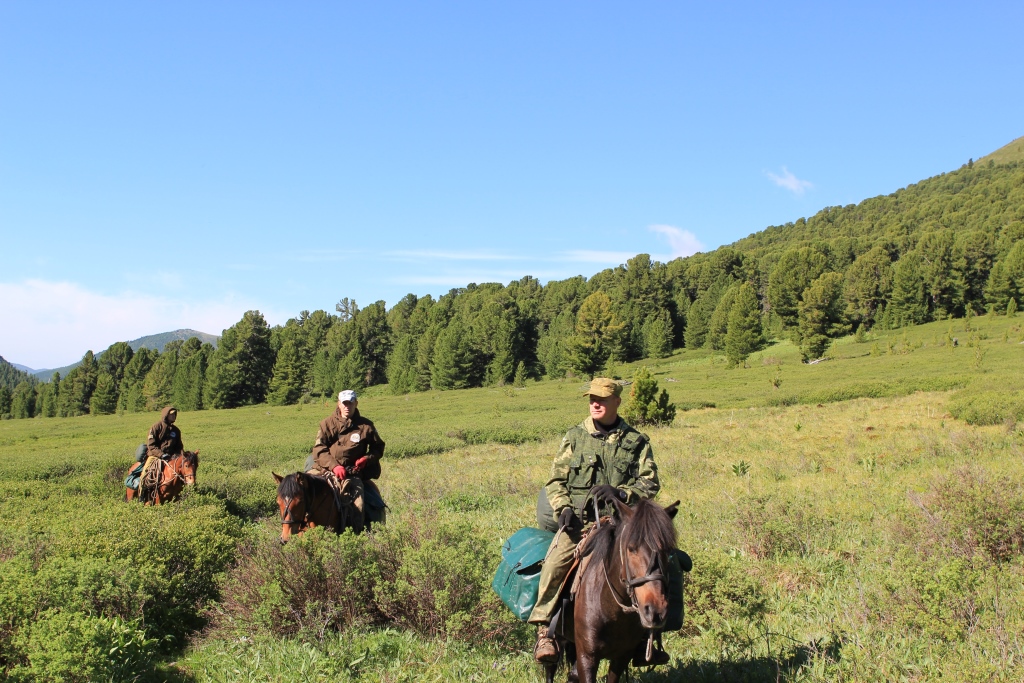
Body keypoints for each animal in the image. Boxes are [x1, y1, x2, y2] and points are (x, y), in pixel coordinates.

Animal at [544, 485, 679, 683]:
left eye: (667, 549)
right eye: (631, 548)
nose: (656, 611)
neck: (610, 606)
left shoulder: (622, 657)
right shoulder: (587, 657)